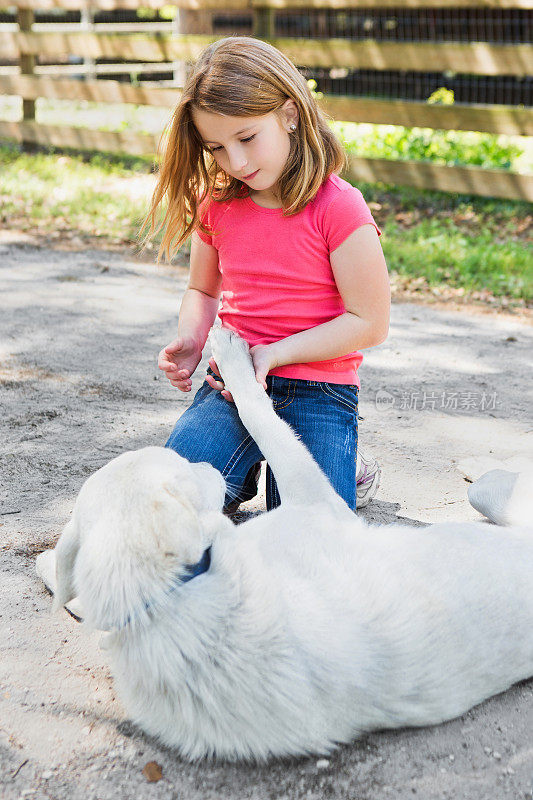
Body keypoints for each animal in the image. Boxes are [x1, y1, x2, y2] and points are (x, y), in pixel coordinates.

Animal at [38, 326, 532, 764]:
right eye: (188, 468)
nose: (215, 470)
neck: (162, 599)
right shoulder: (317, 501)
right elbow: (263, 416)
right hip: (498, 500)